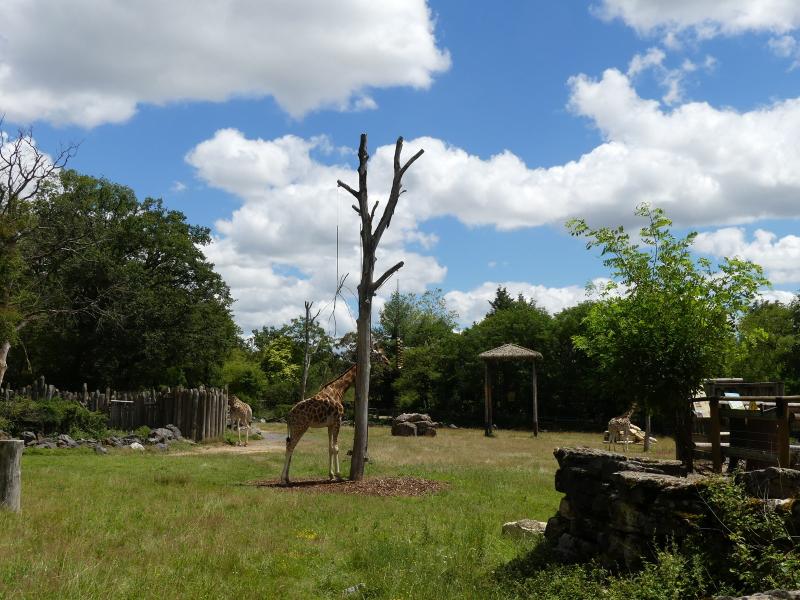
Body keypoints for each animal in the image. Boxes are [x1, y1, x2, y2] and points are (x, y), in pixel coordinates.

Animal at [280, 346, 389, 484]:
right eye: (380, 355)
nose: (387, 362)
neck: (339, 389)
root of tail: (288, 415)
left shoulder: (330, 424)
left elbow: (330, 448)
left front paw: (331, 475)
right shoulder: (338, 420)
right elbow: (336, 448)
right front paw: (339, 475)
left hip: (295, 428)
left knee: (290, 446)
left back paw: (288, 478)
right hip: (300, 427)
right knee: (290, 446)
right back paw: (283, 478)